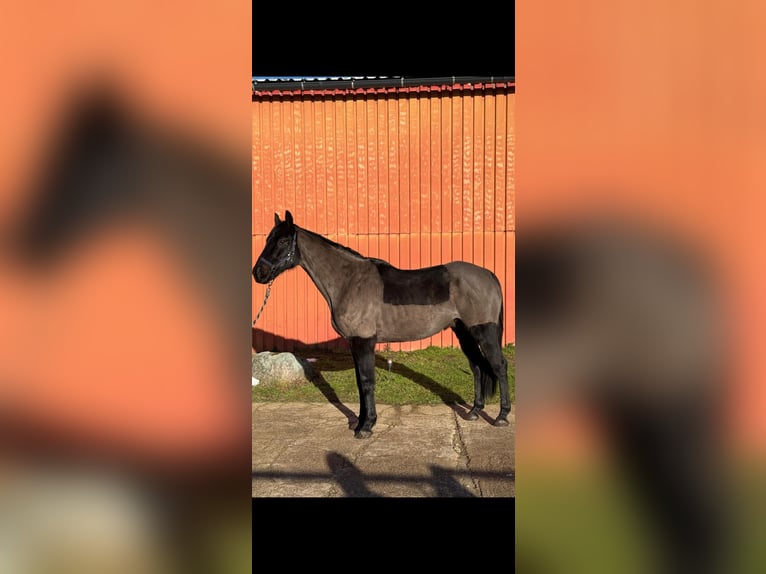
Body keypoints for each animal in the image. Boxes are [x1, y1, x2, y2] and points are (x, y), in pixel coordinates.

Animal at [253, 210, 510, 438]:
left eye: (283, 240)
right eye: (267, 239)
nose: (259, 273)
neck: (349, 281)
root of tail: (488, 275)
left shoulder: (364, 341)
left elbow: (367, 382)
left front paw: (366, 427)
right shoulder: (355, 344)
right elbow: (360, 382)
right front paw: (359, 422)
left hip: (483, 331)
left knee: (498, 366)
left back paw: (501, 416)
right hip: (463, 331)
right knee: (477, 366)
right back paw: (474, 411)